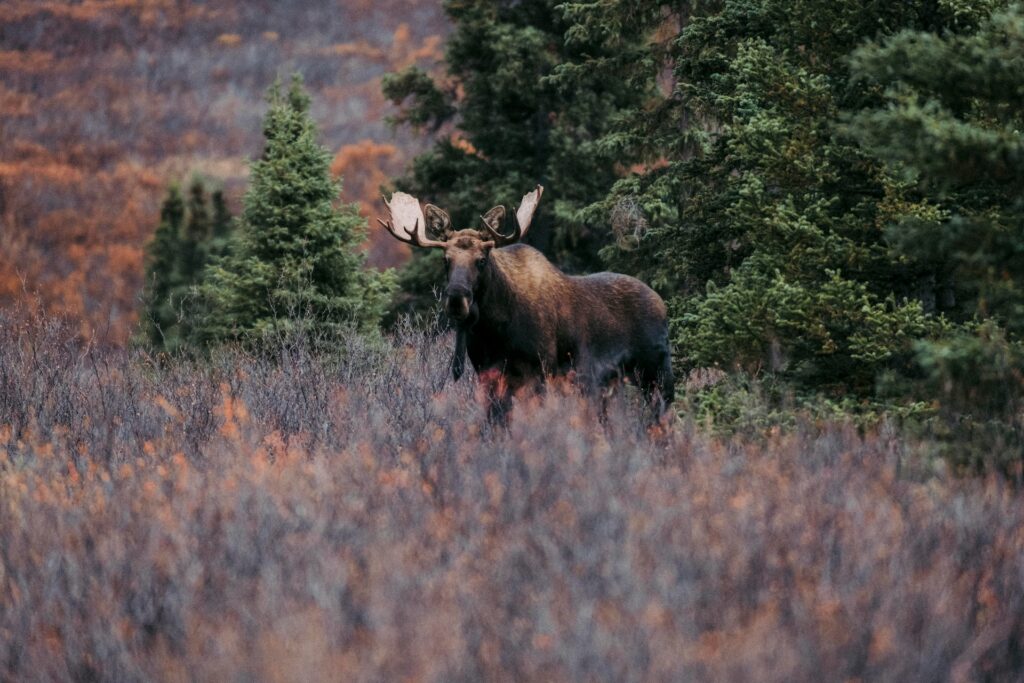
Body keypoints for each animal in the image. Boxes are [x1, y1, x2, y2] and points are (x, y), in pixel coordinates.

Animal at [378, 185, 674, 421]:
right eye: (445, 260)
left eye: (482, 260)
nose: (456, 301)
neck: (495, 329)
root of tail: (662, 303)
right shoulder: (487, 373)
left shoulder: (540, 370)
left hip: (657, 372)